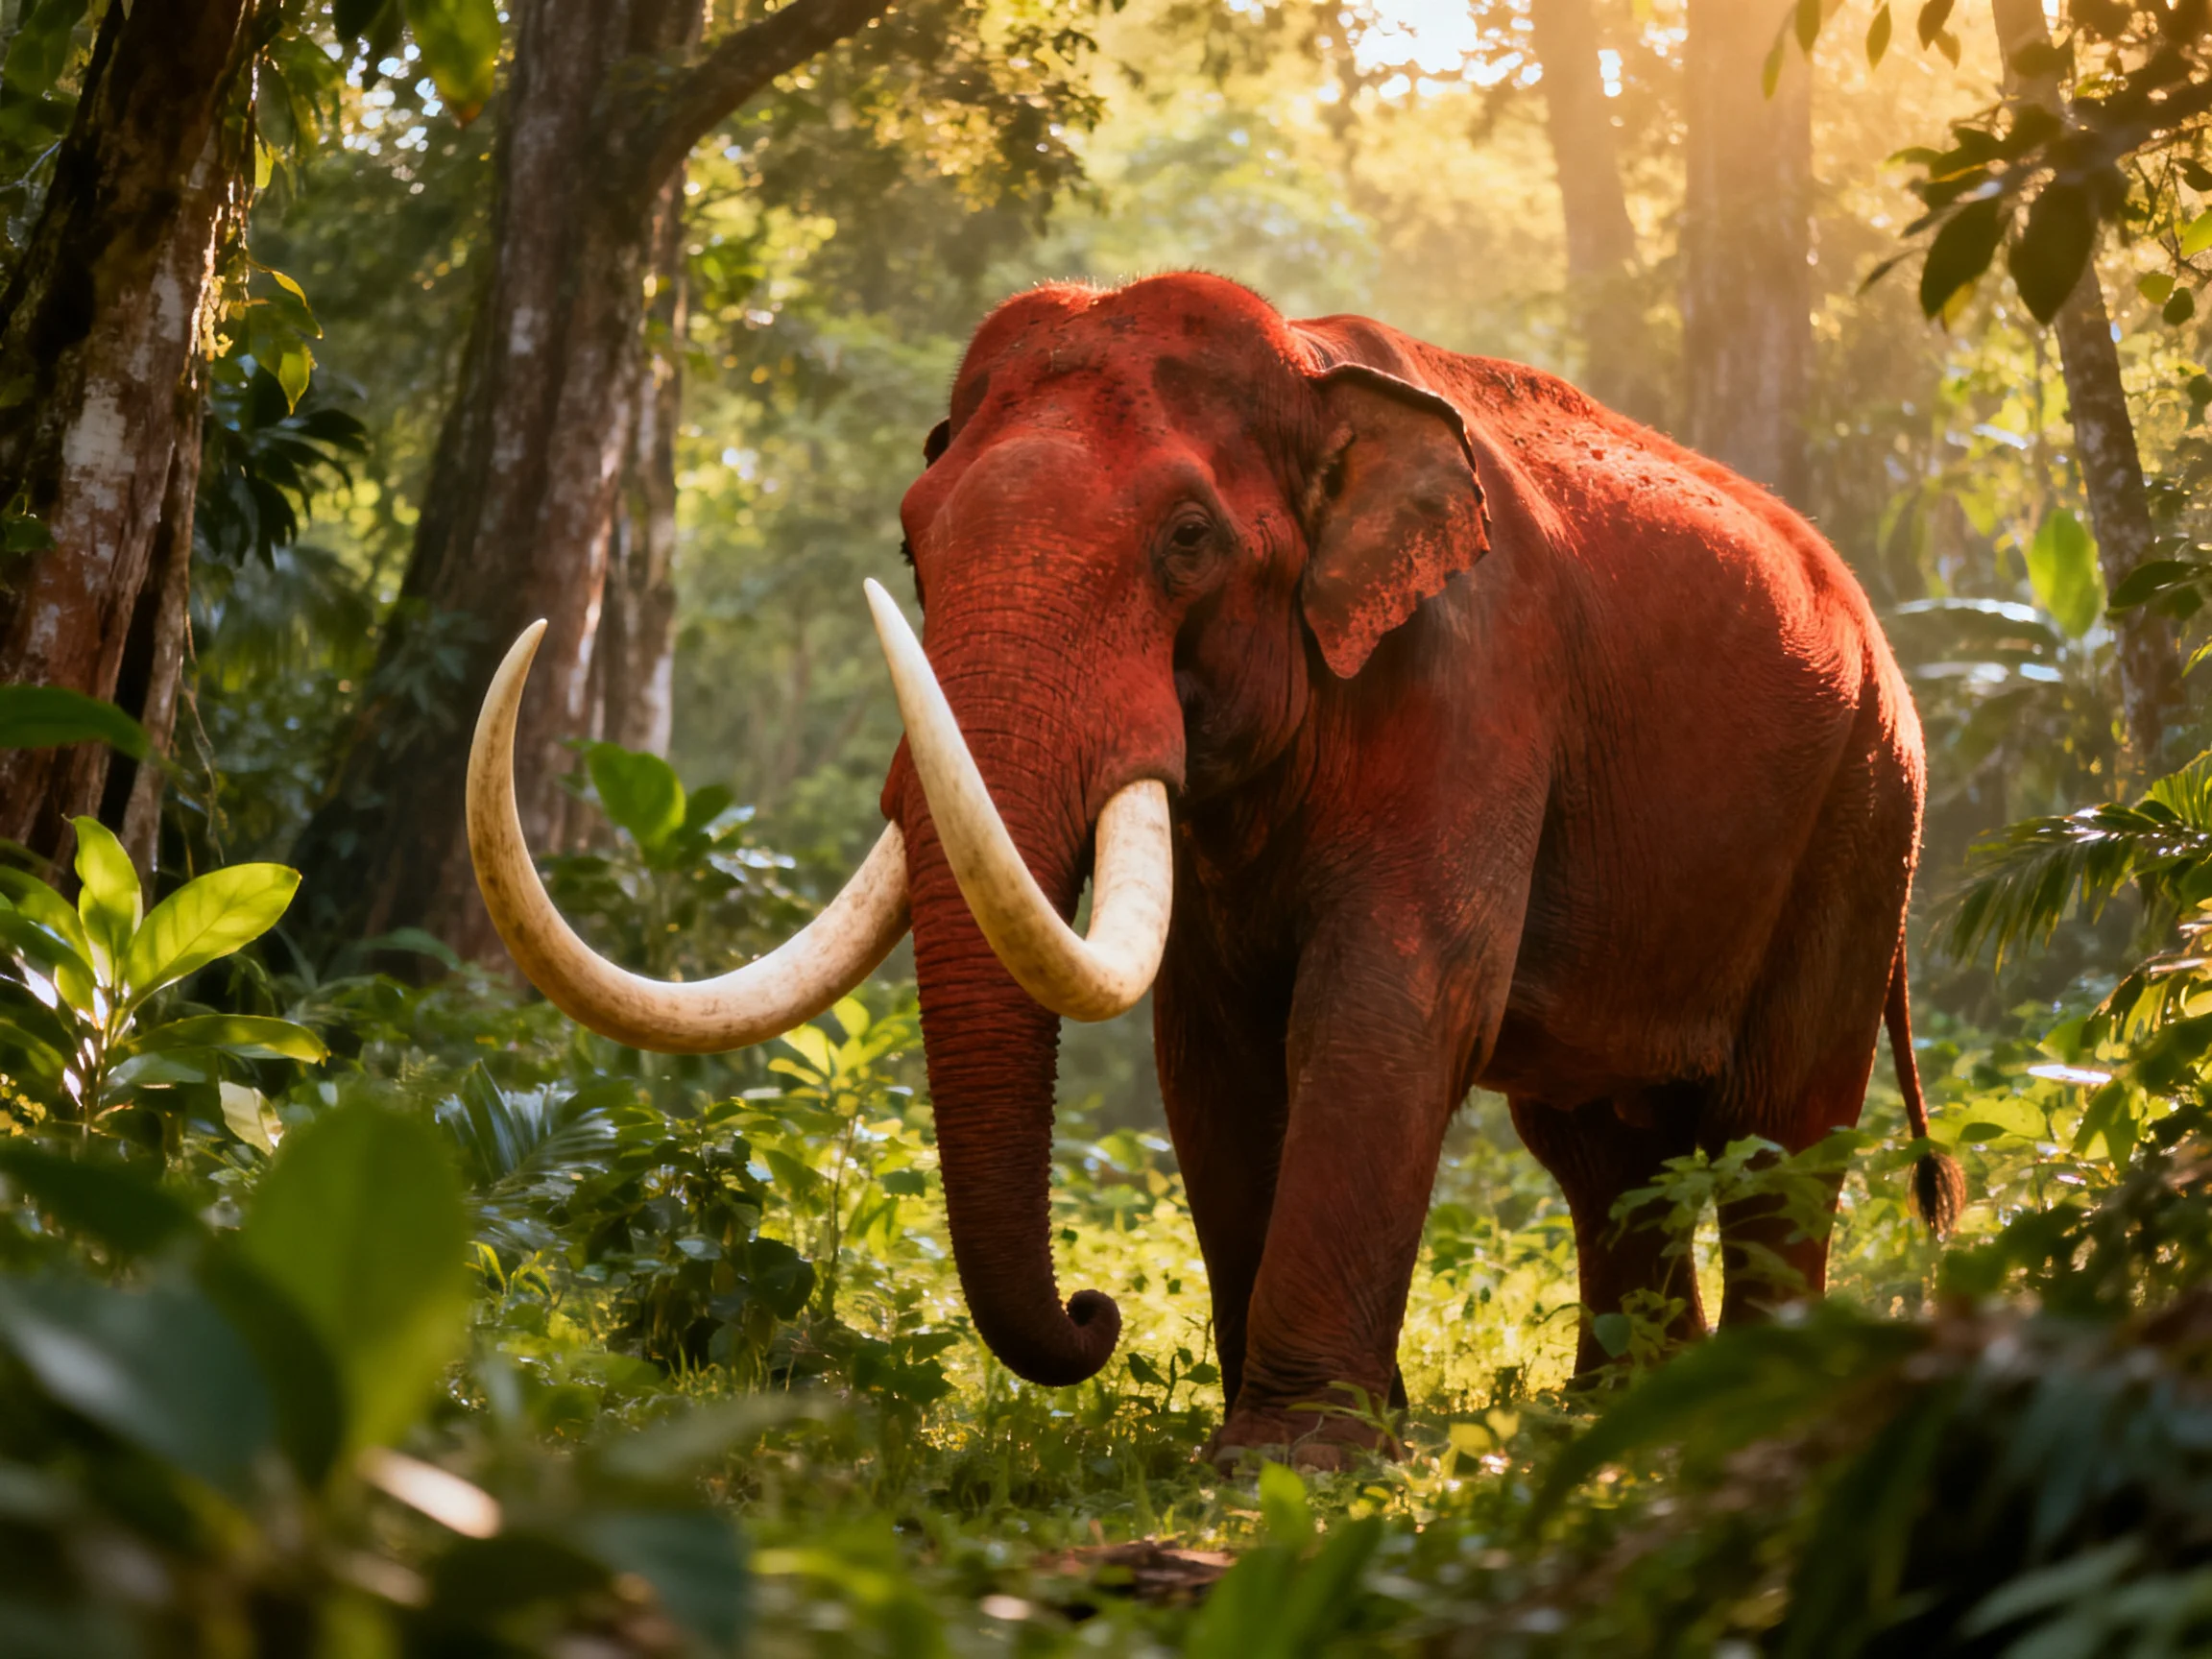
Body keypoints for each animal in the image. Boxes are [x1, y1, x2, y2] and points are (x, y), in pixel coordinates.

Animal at [468, 271, 1967, 1464]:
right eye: (910, 539)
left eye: (1188, 540)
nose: (1095, 1310)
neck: (1314, 367)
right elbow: (1211, 1043)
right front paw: (1290, 1434)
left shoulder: (1479, 681)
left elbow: (1392, 1004)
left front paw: (1290, 1462)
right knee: (1600, 1145)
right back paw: (1610, 1410)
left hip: (1864, 811)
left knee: (1778, 1123)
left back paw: (1749, 1407)